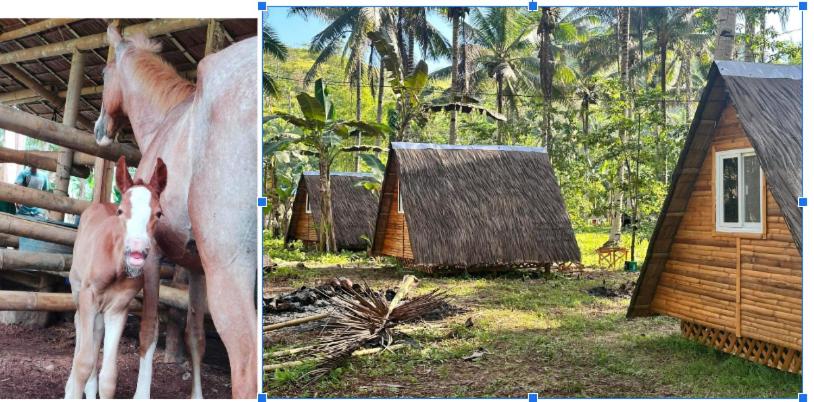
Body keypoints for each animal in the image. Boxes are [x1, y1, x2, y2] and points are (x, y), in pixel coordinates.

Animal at [65, 157, 168, 399]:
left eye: (158, 213)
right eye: (121, 211)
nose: (136, 251)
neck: (116, 267)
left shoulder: (118, 308)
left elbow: (109, 377)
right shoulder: (88, 295)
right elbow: (83, 363)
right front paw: (73, 390)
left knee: (96, 333)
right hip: (77, 289)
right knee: (79, 324)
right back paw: (70, 387)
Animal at [94, 26, 257, 398]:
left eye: (105, 75)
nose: (98, 129)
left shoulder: (153, 256)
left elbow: (149, 330)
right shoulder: (196, 269)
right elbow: (194, 336)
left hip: (230, 271)